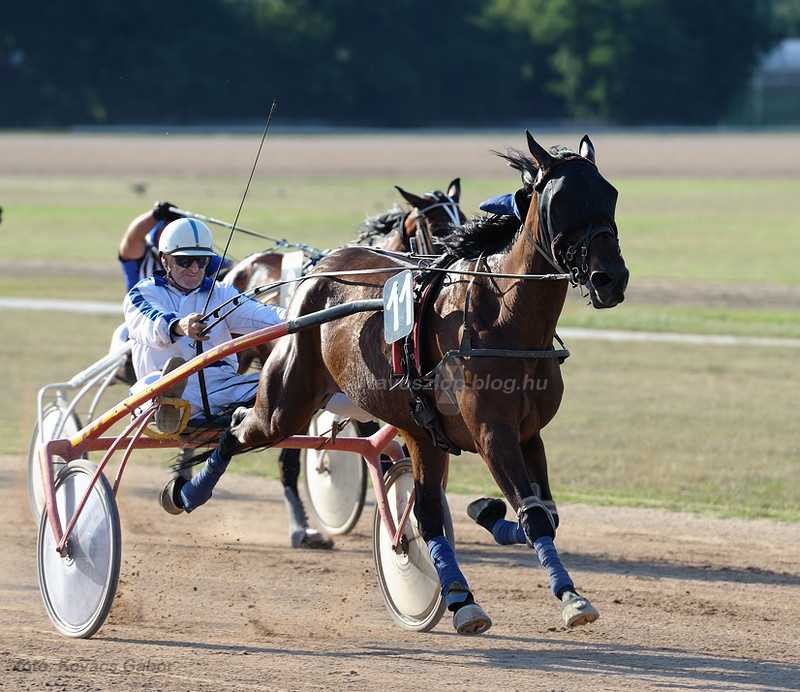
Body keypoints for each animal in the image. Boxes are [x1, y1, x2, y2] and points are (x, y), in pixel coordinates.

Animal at [192, 130, 624, 632]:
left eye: (609, 194)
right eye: (560, 200)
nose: (611, 278)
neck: (503, 317)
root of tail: (320, 270)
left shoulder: (527, 432)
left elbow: (545, 514)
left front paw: (488, 511)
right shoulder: (492, 432)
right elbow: (534, 517)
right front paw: (571, 597)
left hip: (419, 433)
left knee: (426, 513)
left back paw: (458, 596)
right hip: (287, 402)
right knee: (243, 427)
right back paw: (187, 491)